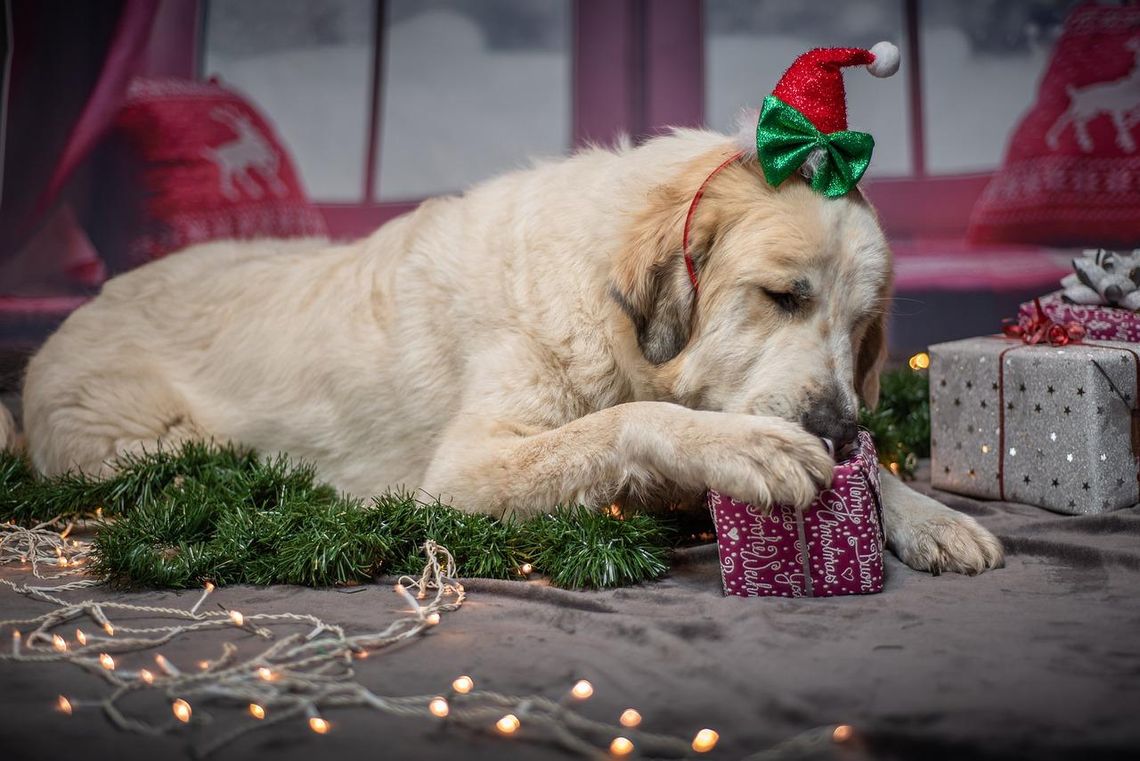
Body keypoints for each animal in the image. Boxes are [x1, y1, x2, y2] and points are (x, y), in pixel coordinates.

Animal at [13, 126, 1003, 576]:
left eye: (861, 329)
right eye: (783, 296)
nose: (836, 428)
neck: (610, 312)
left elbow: (873, 471)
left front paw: (923, 510)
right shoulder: (466, 471)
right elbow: (630, 419)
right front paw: (745, 448)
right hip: (143, 440)